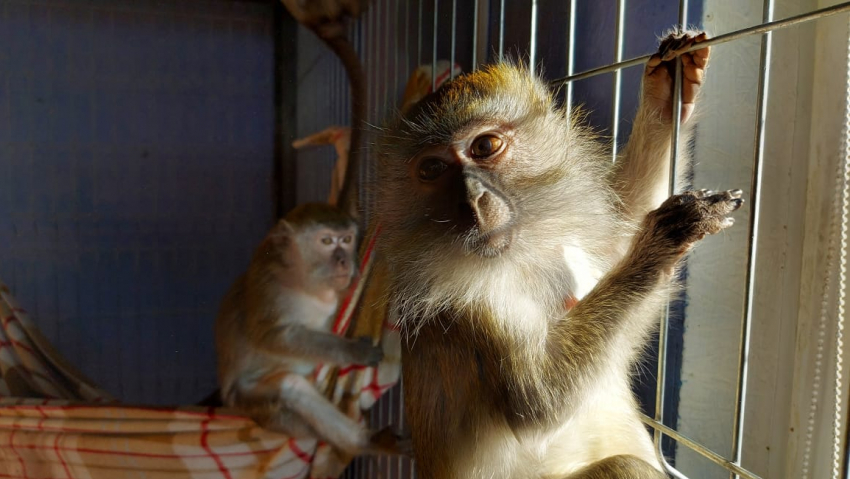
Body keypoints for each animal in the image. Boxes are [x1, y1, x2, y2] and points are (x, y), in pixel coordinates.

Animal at [215, 202, 394, 458]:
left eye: (347, 239)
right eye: (327, 241)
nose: (343, 261)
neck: (306, 284)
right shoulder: (270, 286)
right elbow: (273, 337)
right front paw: (353, 351)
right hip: (248, 400)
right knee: (292, 388)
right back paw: (361, 442)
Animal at [372, 31, 736, 478]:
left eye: (485, 145)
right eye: (432, 170)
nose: (472, 199)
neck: (520, 255)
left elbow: (620, 232)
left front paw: (668, 94)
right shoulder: (464, 303)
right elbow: (540, 402)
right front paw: (667, 237)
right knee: (624, 465)